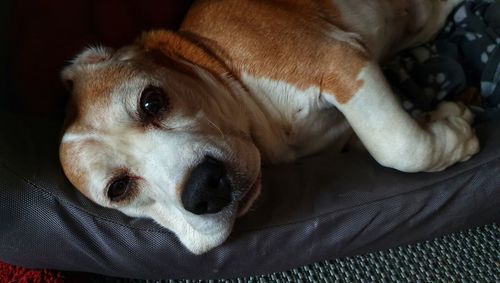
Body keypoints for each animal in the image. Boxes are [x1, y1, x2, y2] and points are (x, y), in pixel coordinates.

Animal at [59, 0, 476, 254]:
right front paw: (441, 123)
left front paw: (456, 133)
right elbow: (394, 137)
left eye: (151, 101)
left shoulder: (340, 61)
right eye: (118, 189)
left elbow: (399, 146)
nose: (205, 188)